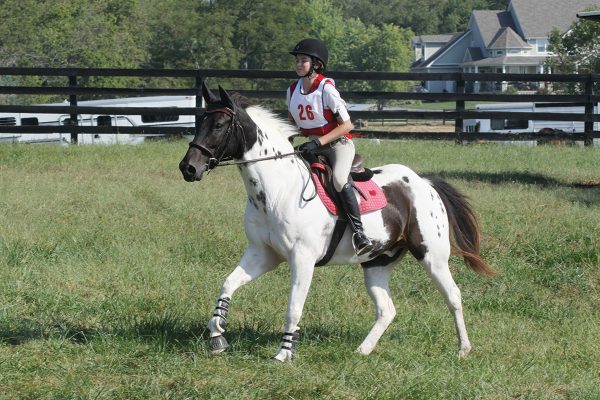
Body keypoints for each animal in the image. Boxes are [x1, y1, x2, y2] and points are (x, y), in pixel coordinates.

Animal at [179, 84, 496, 362]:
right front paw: (218, 335)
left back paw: (463, 349)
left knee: (453, 296)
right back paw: (362, 351)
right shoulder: (262, 254)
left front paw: (284, 354)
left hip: (432, 257)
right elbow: (227, 285)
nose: (188, 168)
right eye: (200, 122)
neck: (278, 189)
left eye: (219, 125)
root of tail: (425, 183)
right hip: (377, 263)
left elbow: (293, 308)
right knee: (387, 310)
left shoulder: (302, 259)